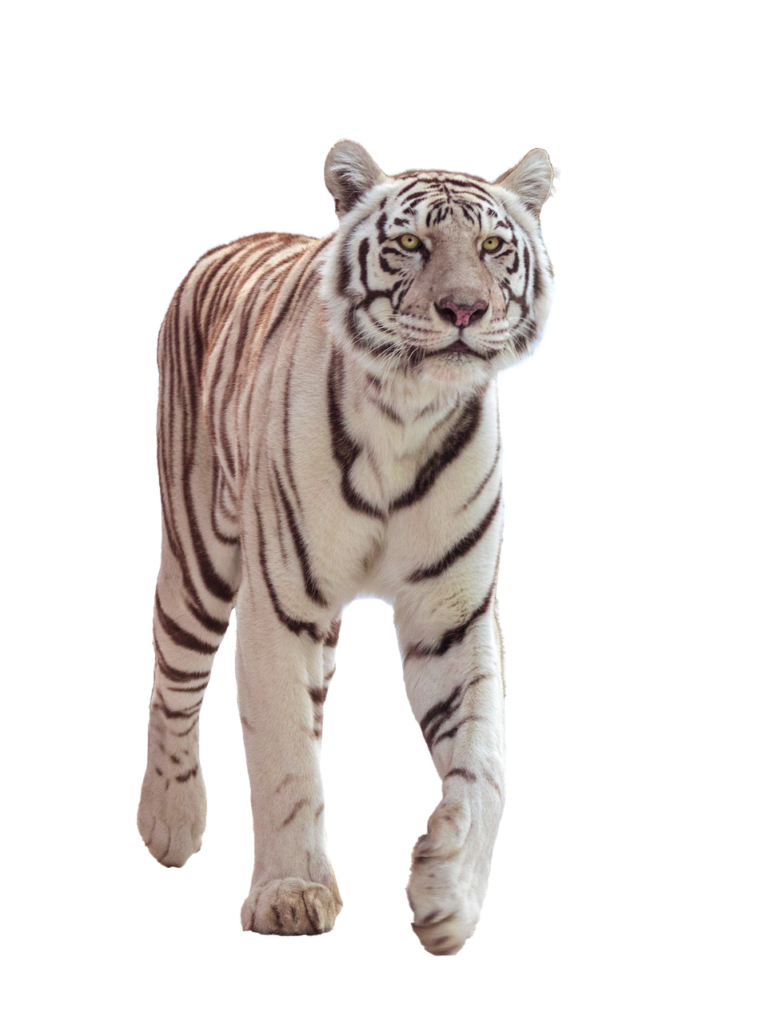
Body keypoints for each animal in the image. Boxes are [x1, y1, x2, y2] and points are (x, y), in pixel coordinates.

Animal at [136, 137, 557, 957]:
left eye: (492, 248)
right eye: (411, 244)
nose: (466, 309)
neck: (410, 411)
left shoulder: (454, 612)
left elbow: (485, 764)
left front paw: (447, 894)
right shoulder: (279, 603)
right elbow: (283, 757)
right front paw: (291, 895)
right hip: (200, 552)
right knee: (173, 679)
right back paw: (169, 821)